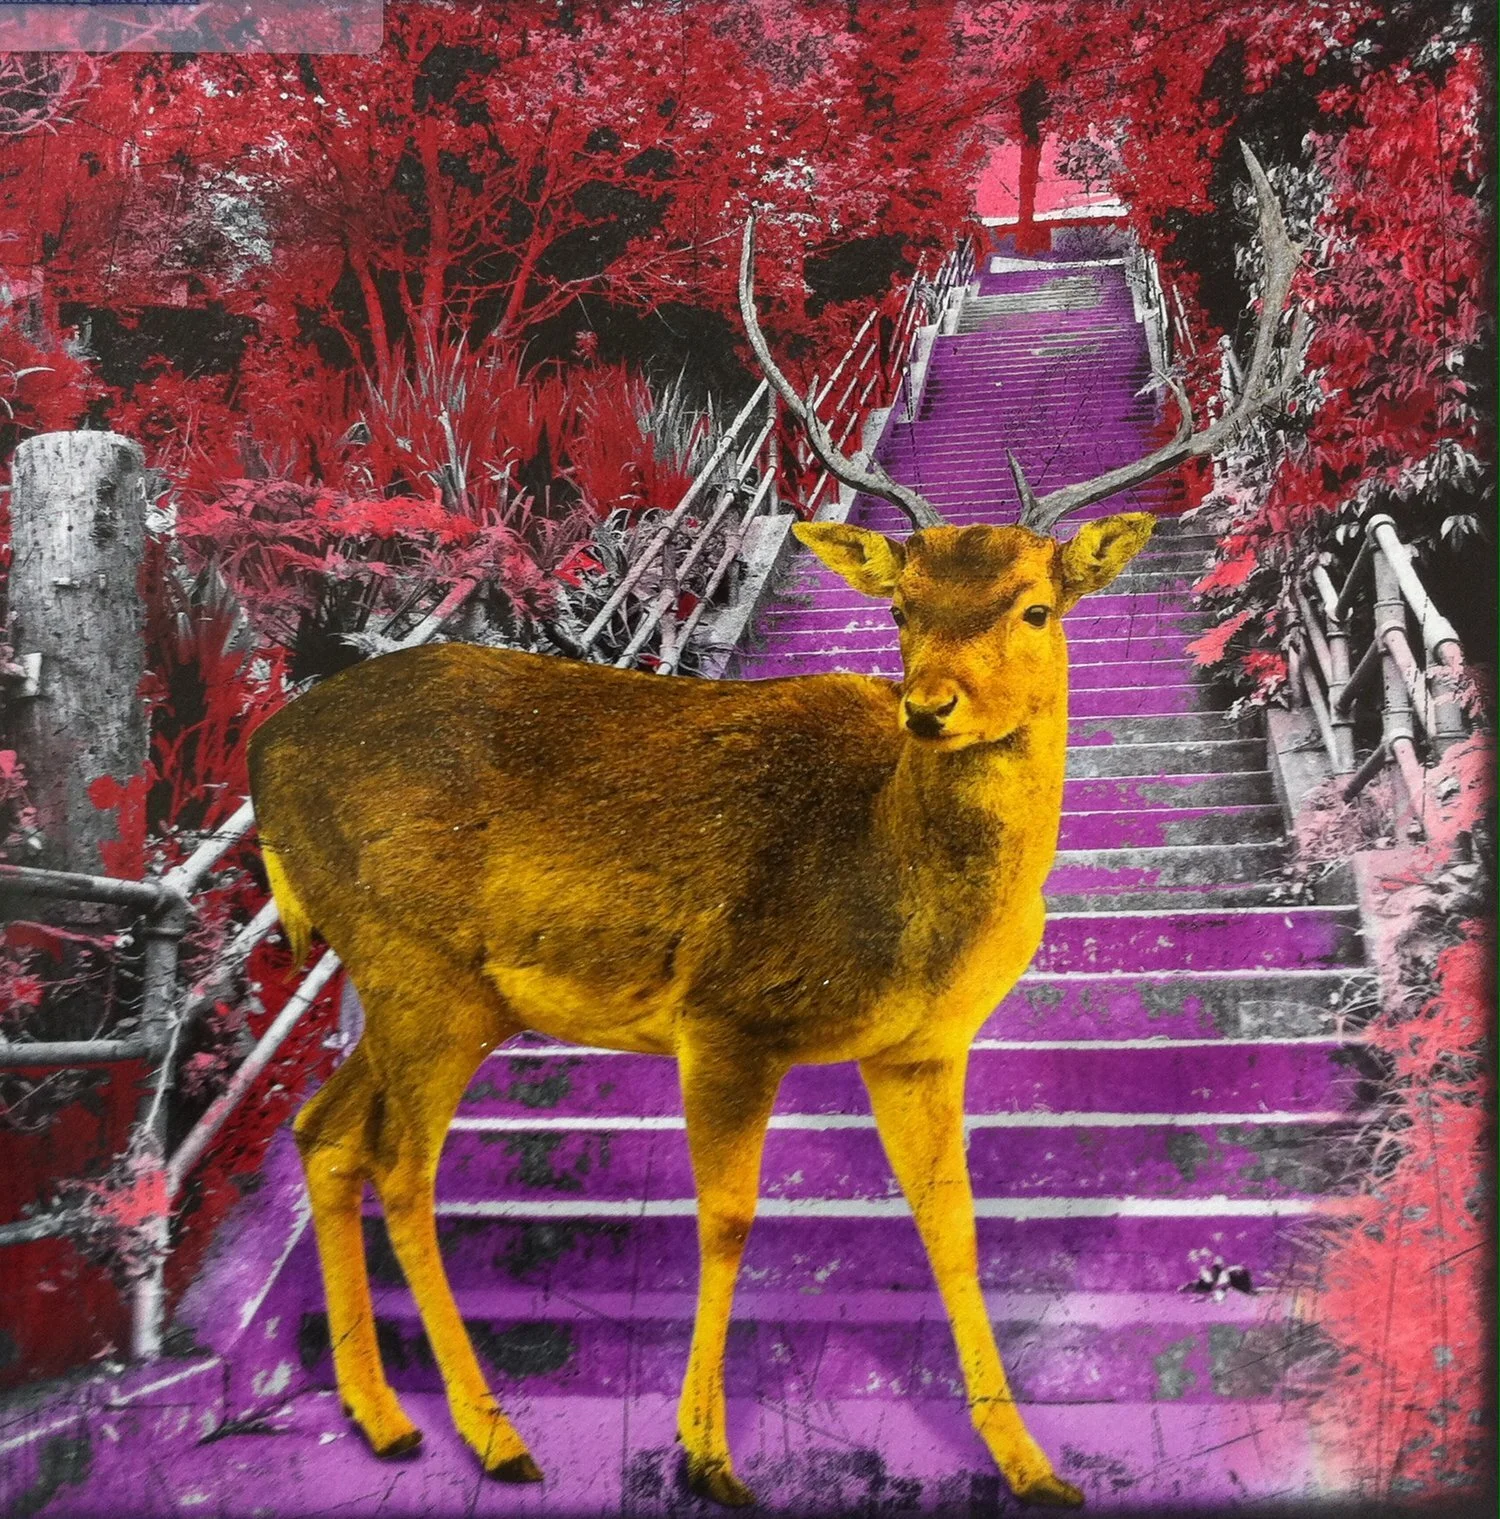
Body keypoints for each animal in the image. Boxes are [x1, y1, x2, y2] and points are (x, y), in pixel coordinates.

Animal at [248, 145, 1303, 1510]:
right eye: (901, 606)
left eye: (1033, 606)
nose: (928, 706)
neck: (903, 910)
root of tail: (263, 751)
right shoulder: (726, 1013)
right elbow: (731, 1215)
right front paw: (708, 1452)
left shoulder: (920, 1047)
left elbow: (954, 1225)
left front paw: (1030, 1463)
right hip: (415, 963)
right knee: (398, 1165)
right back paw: (492, 1432)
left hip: (421, 985)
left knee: (324, 1135)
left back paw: (384, 1416)